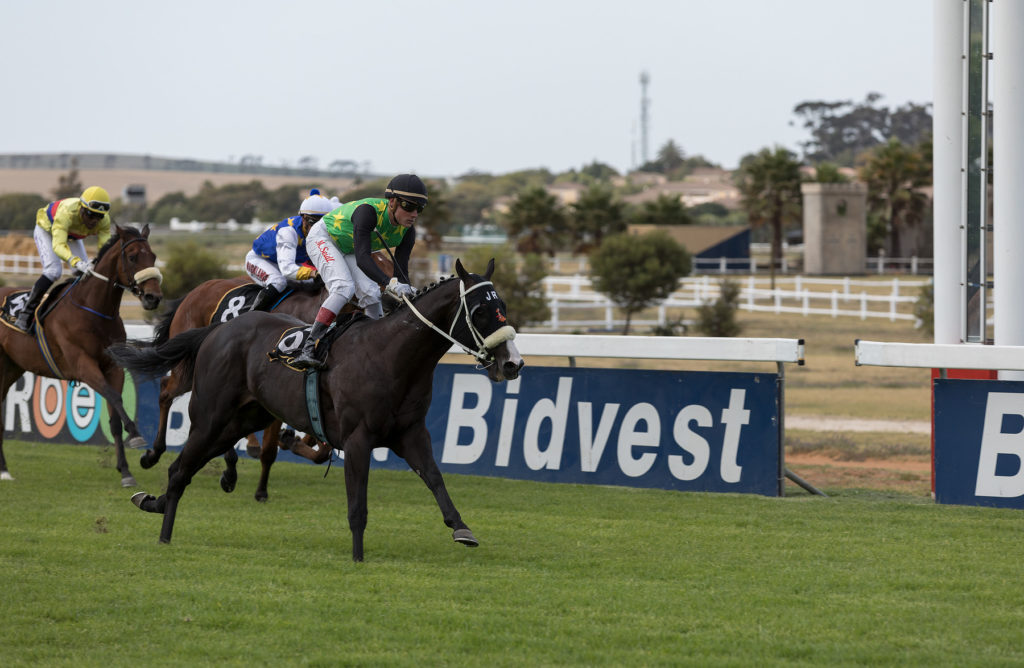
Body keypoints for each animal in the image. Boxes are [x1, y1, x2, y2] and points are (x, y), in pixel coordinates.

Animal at [0, 224, 161, 485]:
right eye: (132, 257)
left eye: (153, 256)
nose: (153, 297)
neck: (94, 310)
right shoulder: (83, 366)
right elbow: (115, 399)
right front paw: (136, 434)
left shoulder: (113, 367)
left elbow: (114, 418)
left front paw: (125, 471)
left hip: (12, 366)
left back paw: (4, 469)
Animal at [146, 252, 393, 499]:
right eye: (372, 267)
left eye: (391, 264)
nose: (392, 300)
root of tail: (193, 292)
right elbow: (271, 449)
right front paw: (262, 489)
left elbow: (321, 444)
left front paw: (292, 441)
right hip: (193, 367)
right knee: (166, 391)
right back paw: (155, 453)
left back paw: (231, 467)